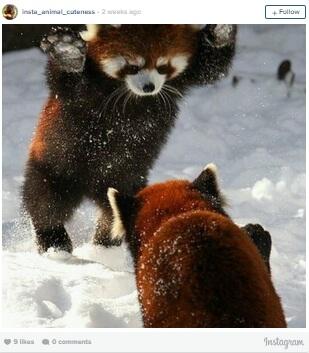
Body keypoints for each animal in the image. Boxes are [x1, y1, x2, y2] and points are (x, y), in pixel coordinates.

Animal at [22, 23, 236, 252]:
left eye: (162, 66)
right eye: (133, 66)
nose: (149, 87)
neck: (131, 94)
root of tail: (91, 188)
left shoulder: (185, 76)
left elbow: (213, 67)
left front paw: (221, 33)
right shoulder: (81, 92)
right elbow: (64, 81)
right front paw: (67, 52)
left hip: (127, 180)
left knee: (114, 212)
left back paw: (105, 243)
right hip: (56, 167)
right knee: (45, 202)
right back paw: (54, 241)